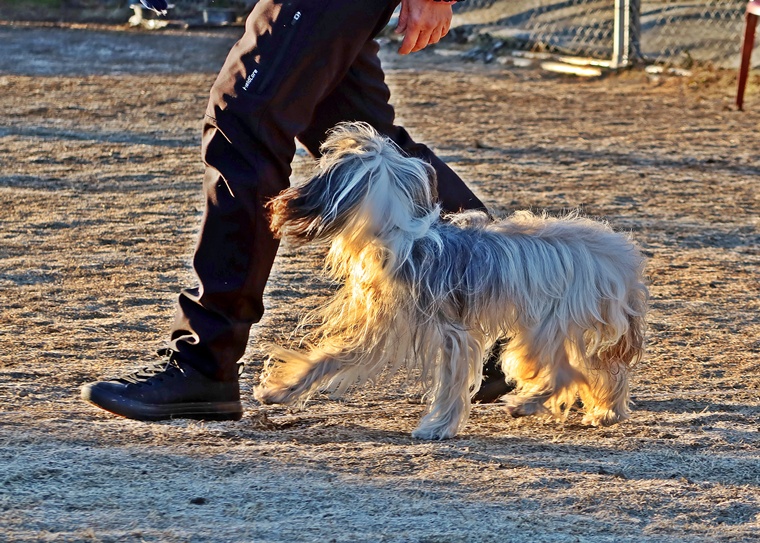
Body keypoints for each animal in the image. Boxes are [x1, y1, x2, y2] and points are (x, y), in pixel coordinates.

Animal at [254, 122, 648, 440]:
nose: (281, 200)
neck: (398, 239)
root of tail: (620, 257)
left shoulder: (453, 333)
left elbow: (451, 382)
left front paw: (438, 426)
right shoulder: (381, 327)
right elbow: (330, 357)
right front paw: (281, 390)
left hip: (544, 329)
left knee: (567, 372)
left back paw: (526, 403)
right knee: (602, 370)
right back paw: (606, 411)